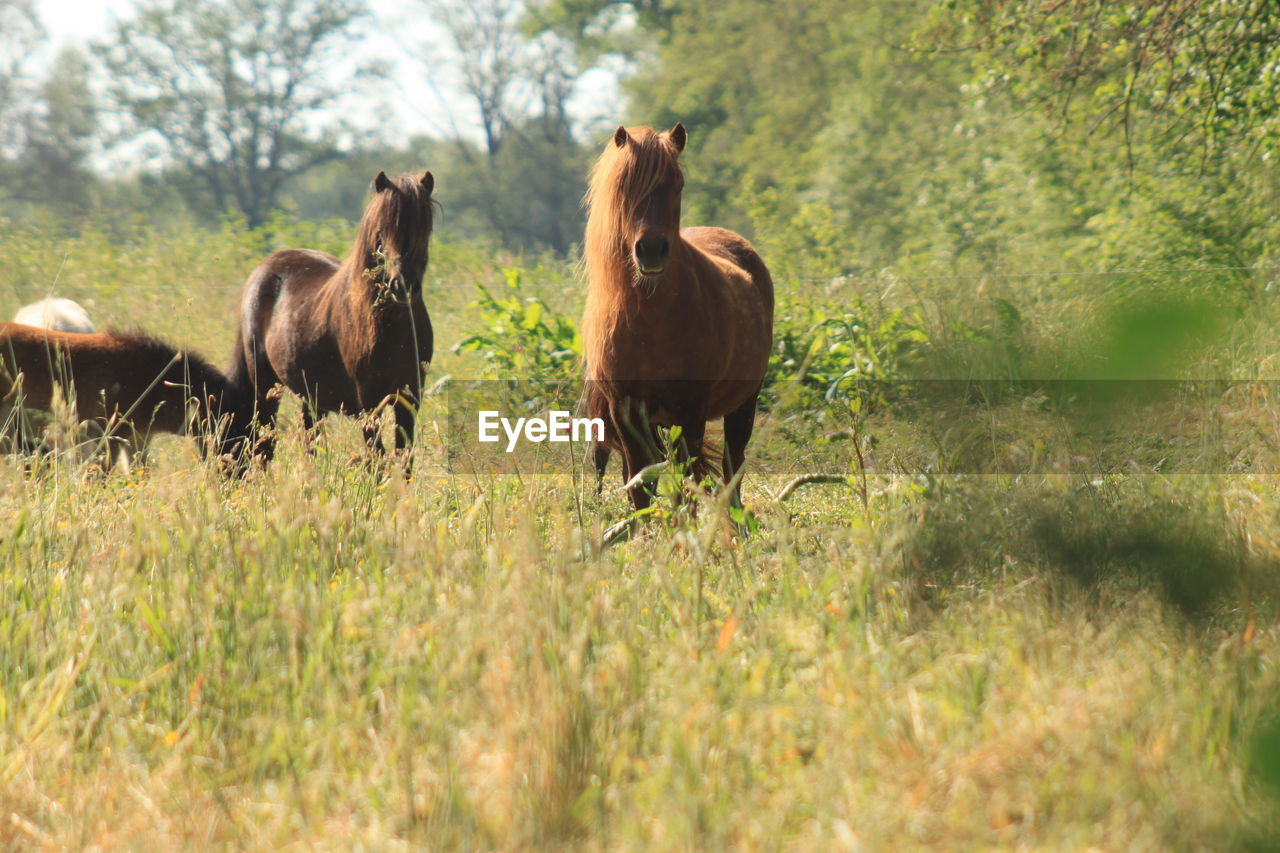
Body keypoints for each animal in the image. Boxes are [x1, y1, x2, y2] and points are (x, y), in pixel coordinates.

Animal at [225, 169, 435, 461]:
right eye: (380, 232)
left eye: (424, 227)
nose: (402, 285)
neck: (394, 328)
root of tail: (265, 268)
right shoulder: (369, 403)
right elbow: (377, 459)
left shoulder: (409, 398)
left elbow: (403, 457)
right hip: (266, 388)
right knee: (264, 444)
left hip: (311, 396)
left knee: (308, 442)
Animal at [583, 122, 778, 507]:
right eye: (625, 185)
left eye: (677, 184)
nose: (651, 250)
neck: (652, 323)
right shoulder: (626, 413)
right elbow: (641, 485)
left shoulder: (689, 412)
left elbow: (686, 484)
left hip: (743, 406)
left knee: (732, 469)